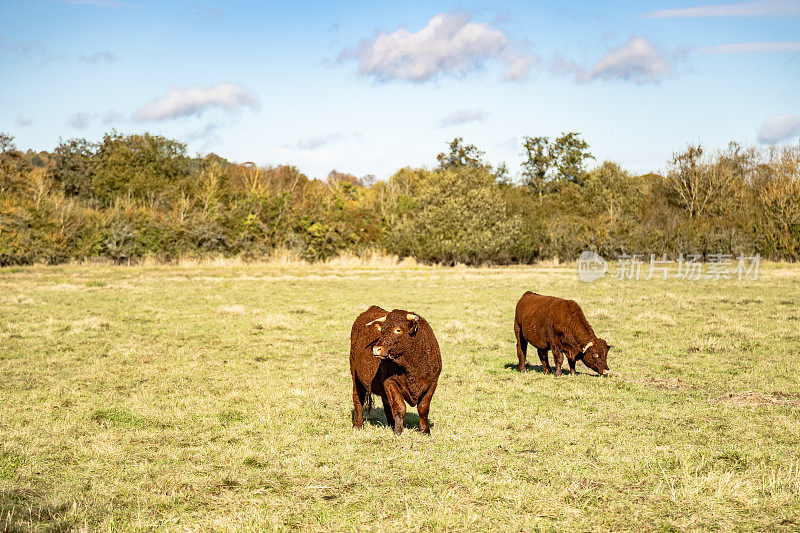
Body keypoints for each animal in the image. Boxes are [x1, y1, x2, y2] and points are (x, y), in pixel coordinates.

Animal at [348, 306, 440, 434]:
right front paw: (398, 431)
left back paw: (391, 424)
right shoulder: (390, 382)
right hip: (355, 376)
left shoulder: (432, 382)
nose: (376, 349)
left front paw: (424, 431)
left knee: (386, 404)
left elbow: (423, 408)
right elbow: (399, 407)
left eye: (398, 330)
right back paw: (358, 424)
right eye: (381, 331)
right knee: (358, 399)